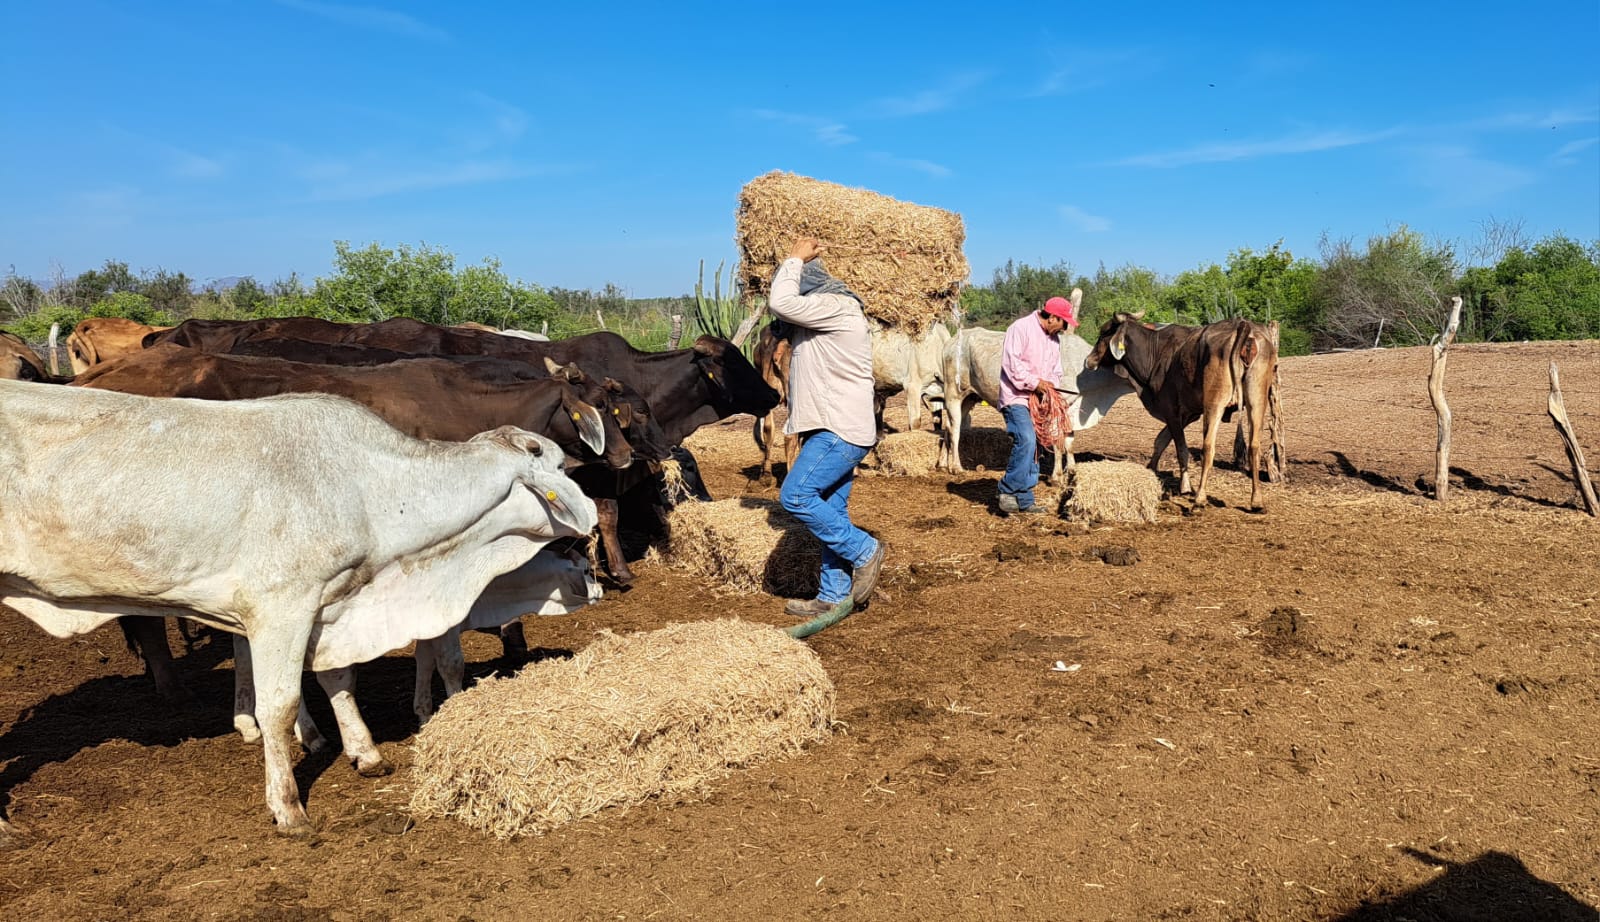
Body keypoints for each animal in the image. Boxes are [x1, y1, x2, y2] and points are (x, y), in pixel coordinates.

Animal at [1, 380, 597, 836]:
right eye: (560, 464)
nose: (591, 525)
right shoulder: (280, 606)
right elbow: (279, 706)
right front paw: (287, 806)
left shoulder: (328, 606)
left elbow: (338, 681)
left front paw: (364, 752)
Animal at [1084, 314, 1278, 510]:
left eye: (1104, 333)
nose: (1088, 361)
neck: (1157, 352)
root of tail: (1243, 326)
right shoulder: (1188, 414)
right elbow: (1161, 441)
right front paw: (1151, 468)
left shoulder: (1172, 411)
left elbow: (1181, 449)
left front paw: (1185, 486)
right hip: (1257, 400)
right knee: (1254, 446)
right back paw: (1257, 500)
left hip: (1215, 402)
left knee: (1208, 447)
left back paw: (1200, 498)